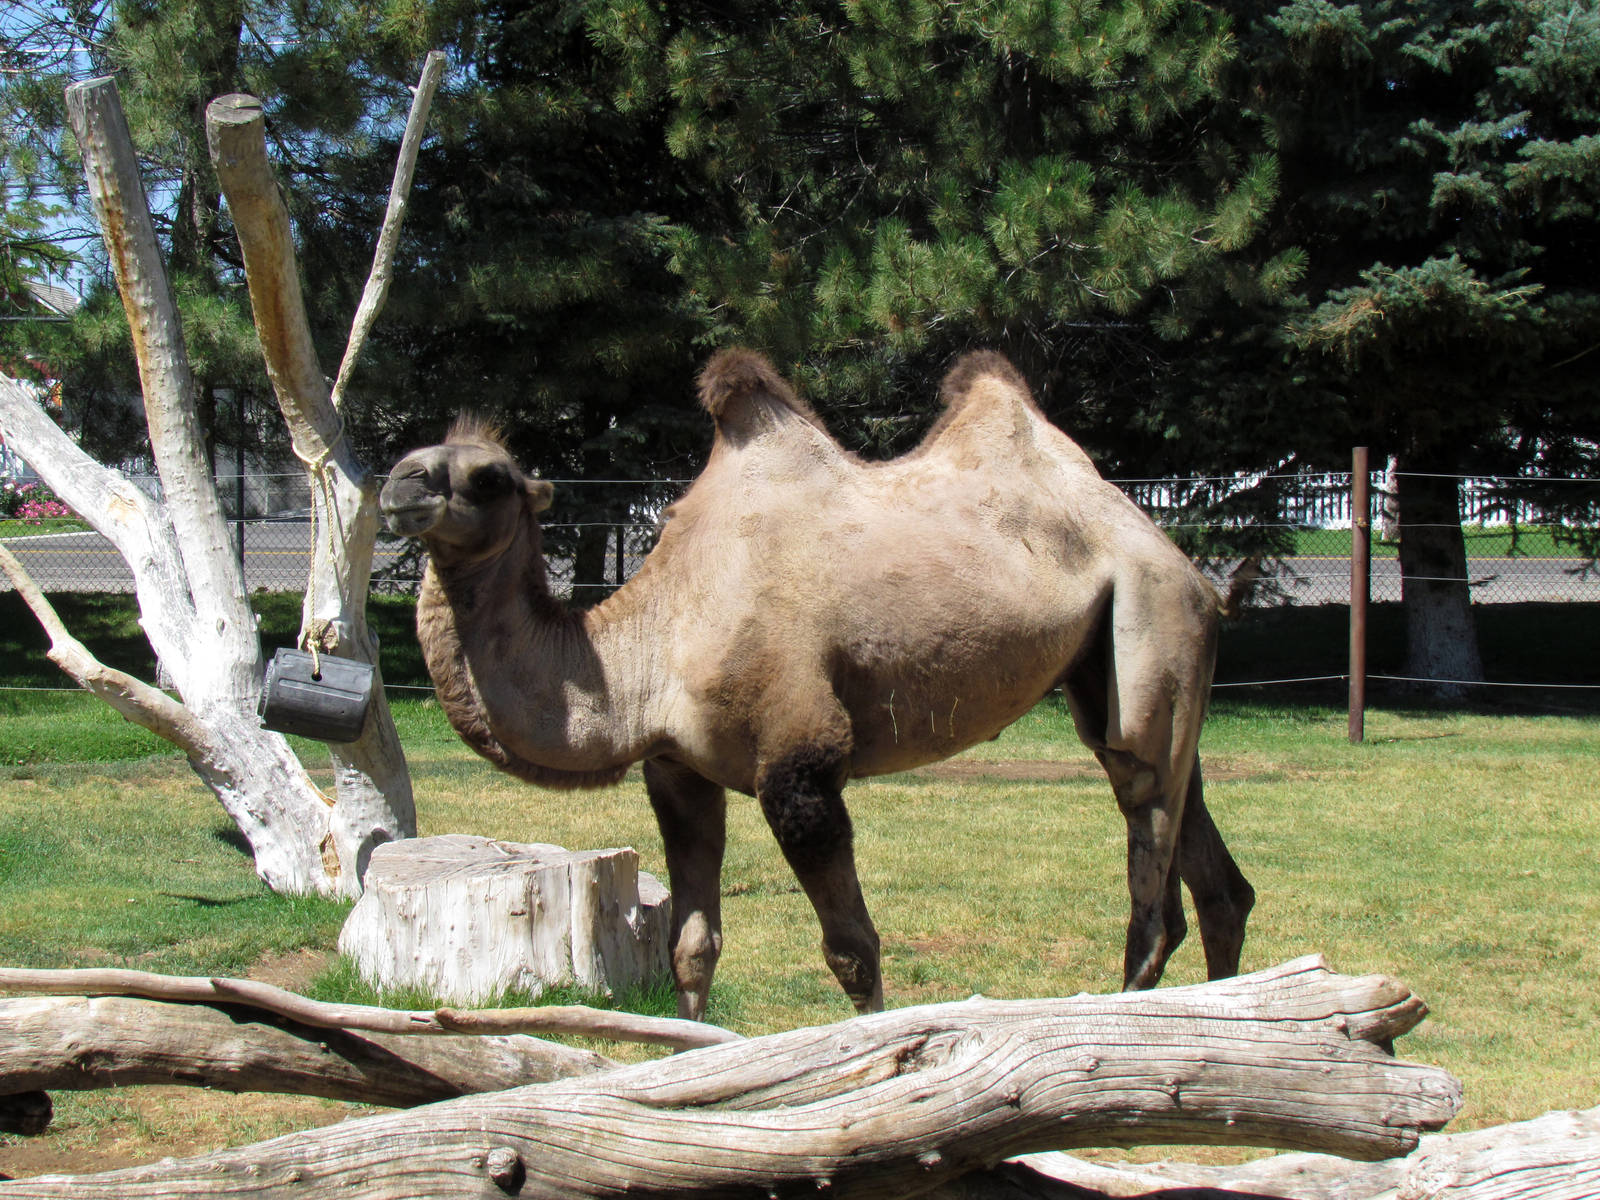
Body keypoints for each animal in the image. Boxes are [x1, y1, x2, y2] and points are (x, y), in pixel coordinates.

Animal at [379, 349, 1254, 1020]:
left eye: (490, 477)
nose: (398, 483)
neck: (660, 638)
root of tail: (1191, 571)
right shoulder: (678, 771)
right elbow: (691, 948)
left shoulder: (799, 764)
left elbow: (853, 951)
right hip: (1117, 673)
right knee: (1209, 860)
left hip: (1152, 614)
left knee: (1150, 854)